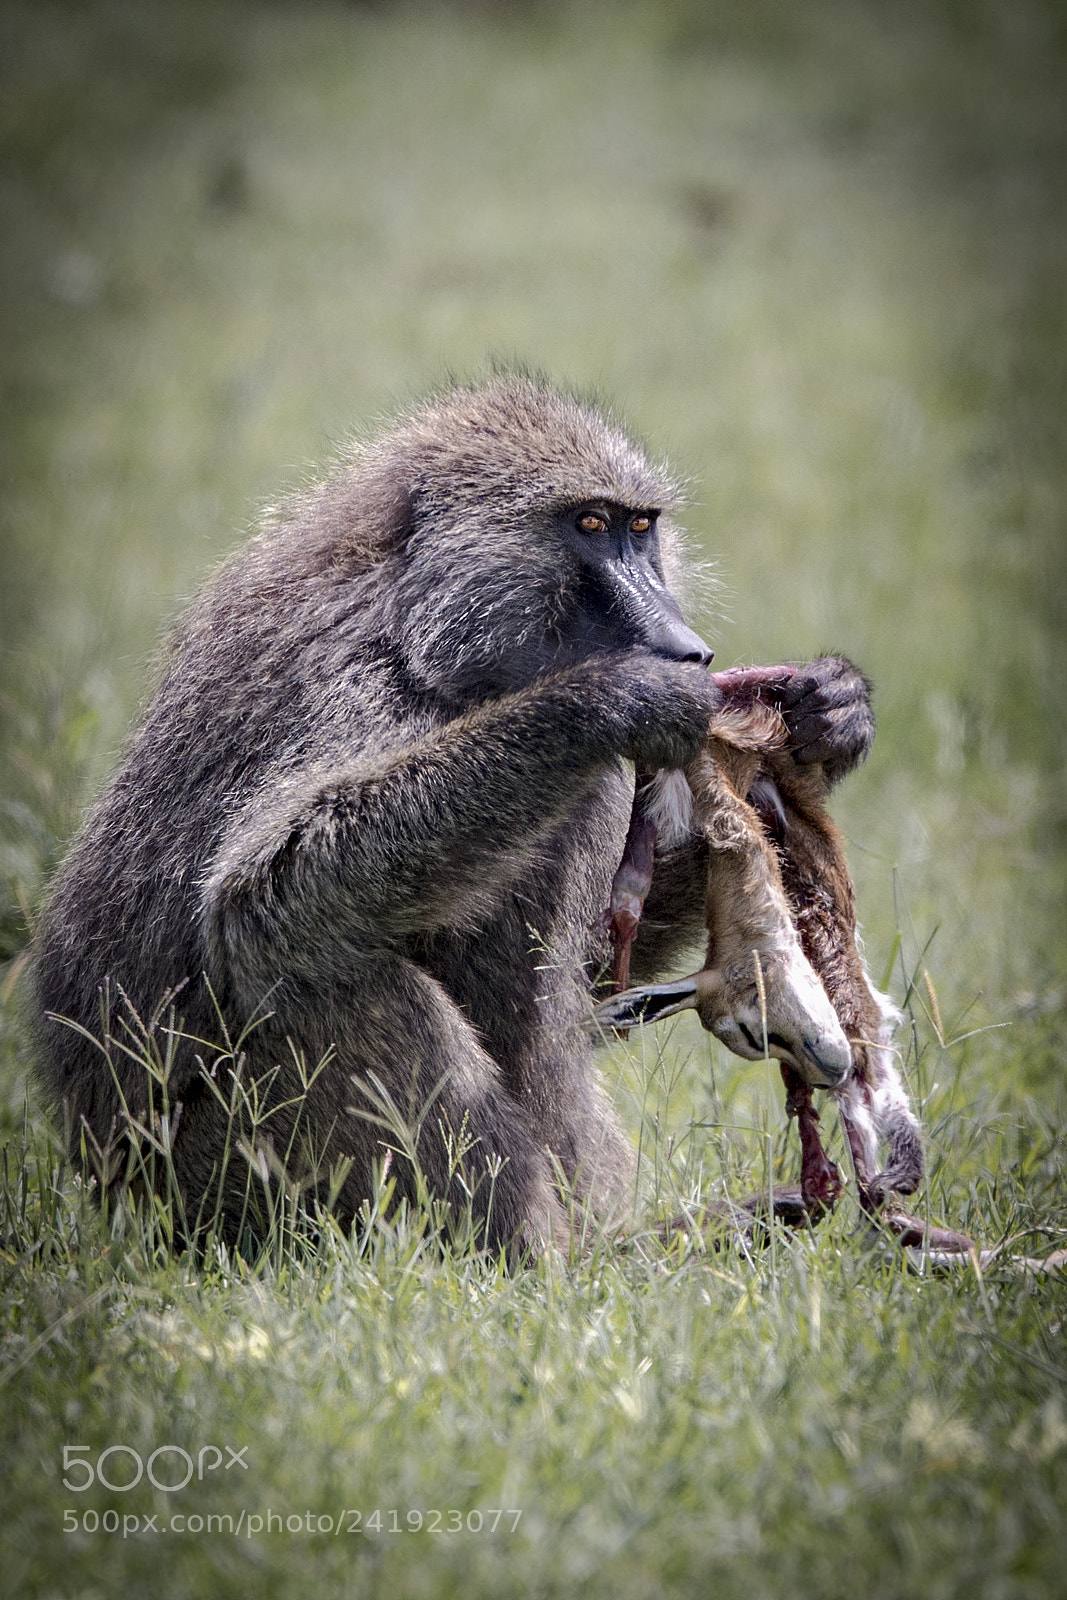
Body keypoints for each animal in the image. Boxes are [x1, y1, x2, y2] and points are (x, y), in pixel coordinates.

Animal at [29, 375, 875, 1258]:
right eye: (590, 524)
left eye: (639, 529)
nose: (688, 648)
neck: (426, 632)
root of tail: (117, 1191)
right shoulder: (354, 683)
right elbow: (264, 894)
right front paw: (609, 699)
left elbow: (588, 977)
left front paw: (827, 718)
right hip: (216, 1190)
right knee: (323, 971)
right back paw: (553, 1266)